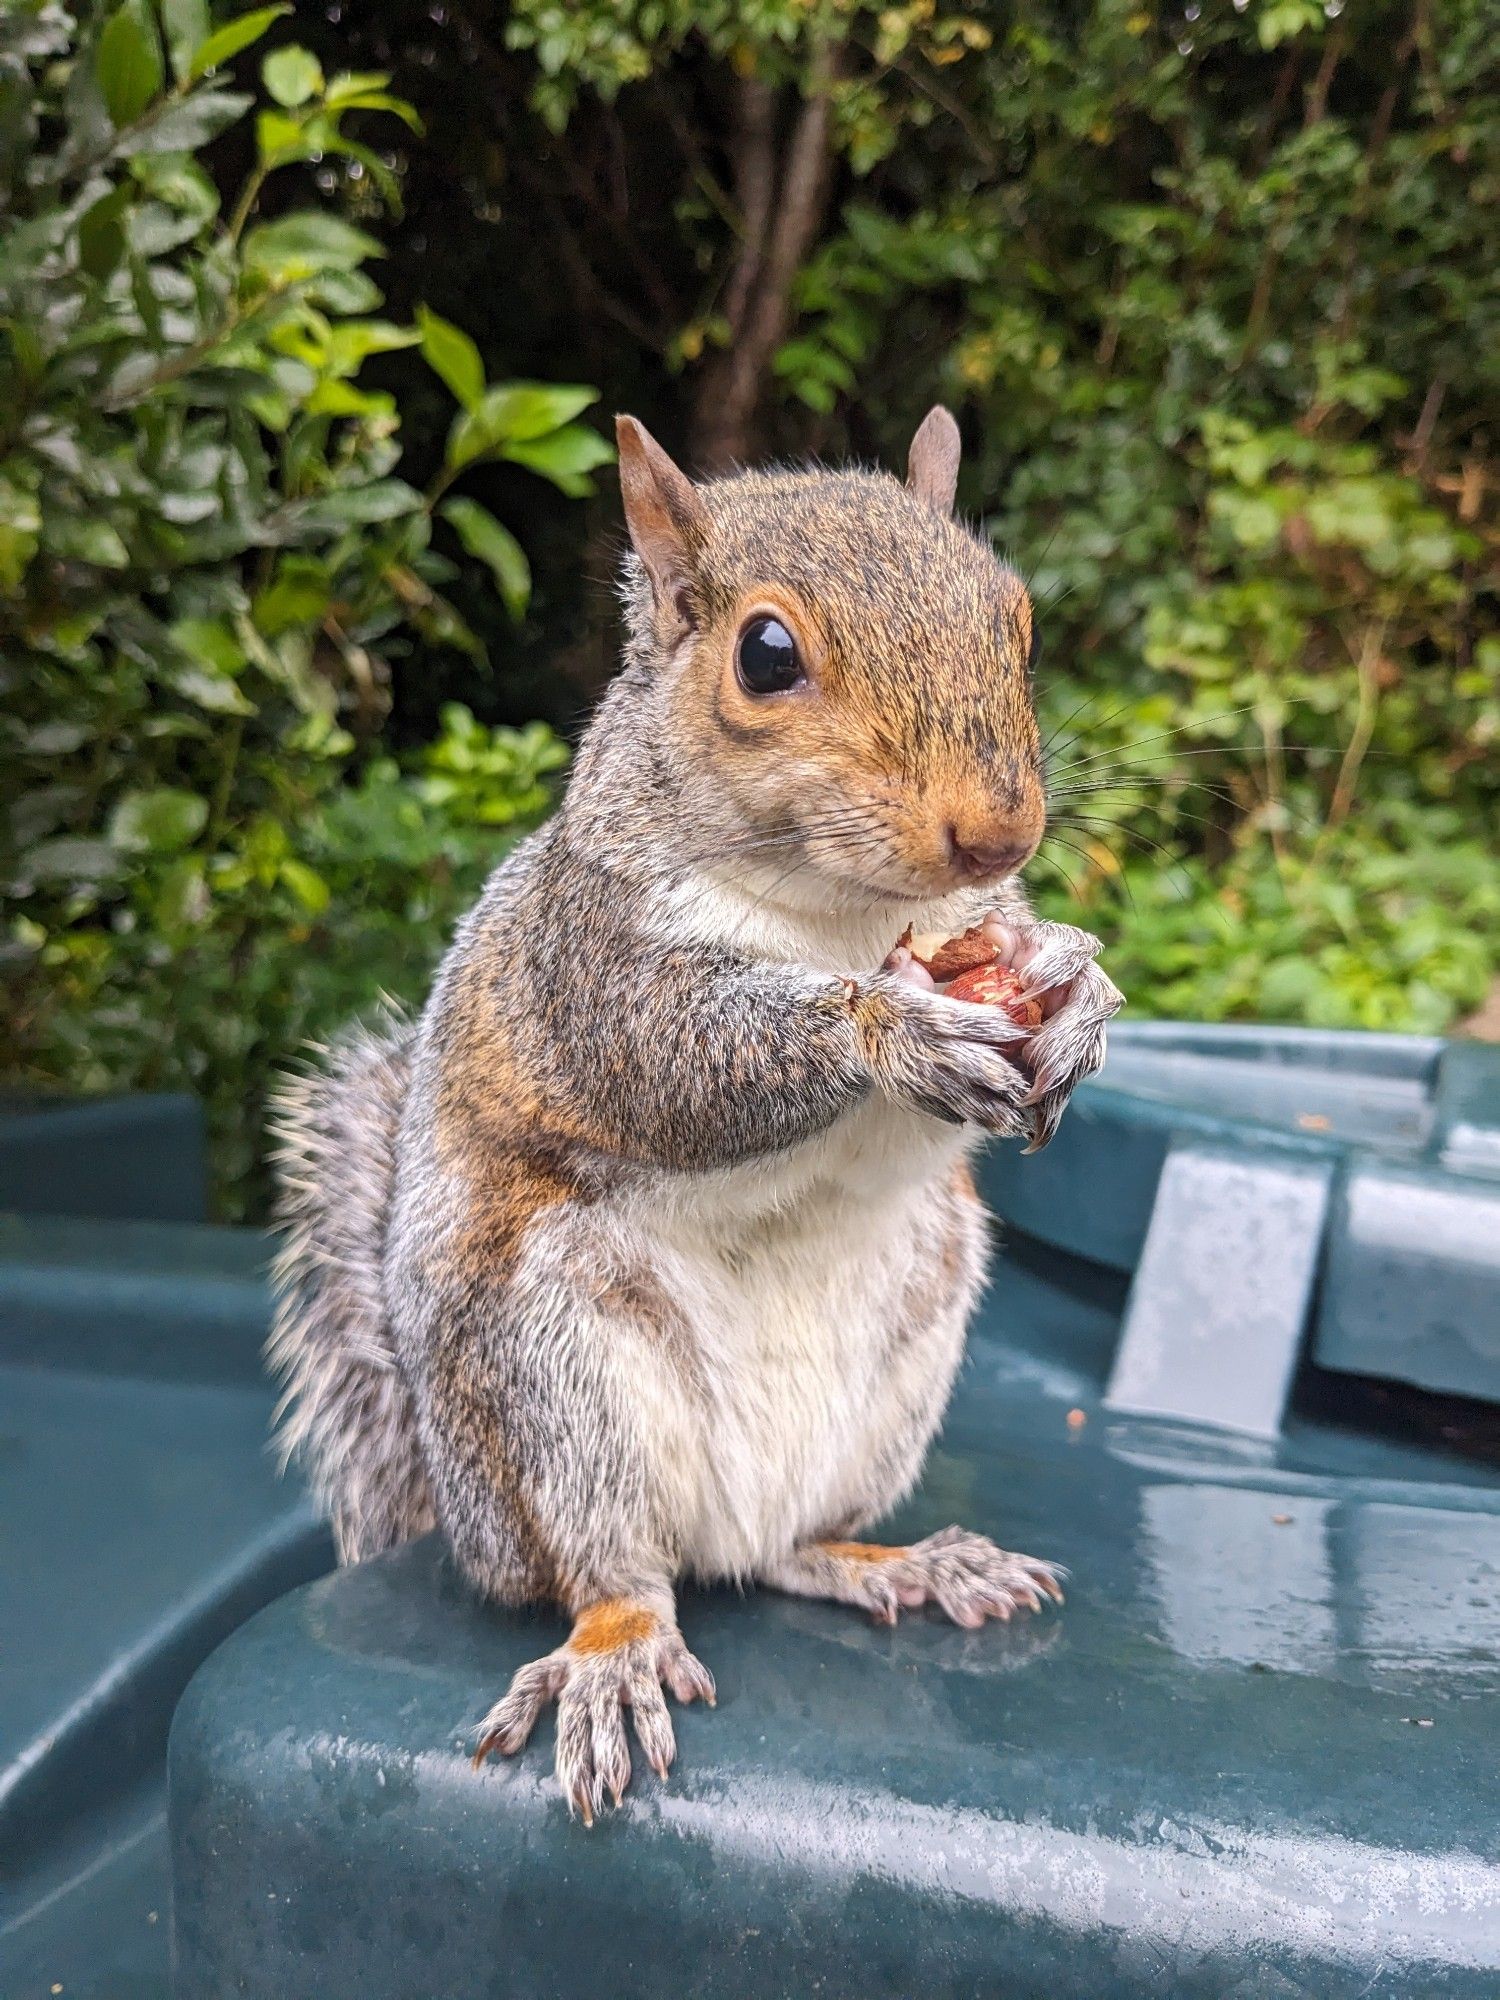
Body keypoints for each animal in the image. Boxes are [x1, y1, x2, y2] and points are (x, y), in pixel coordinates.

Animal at [270, 414, 1120, 1824]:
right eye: (766, 654)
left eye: (1018, 617)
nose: (999, 832)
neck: (842, 913)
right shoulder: (588, 965)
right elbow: (673, 1062)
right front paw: (886, 1030)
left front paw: (1072, 982)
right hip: (554, 1376)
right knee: (615, 1574)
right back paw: (614, 1652)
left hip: (906, 1337)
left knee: (786, 1549)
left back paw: (900, 1560)